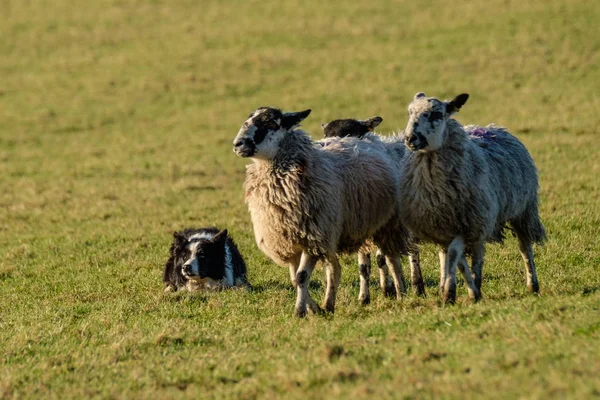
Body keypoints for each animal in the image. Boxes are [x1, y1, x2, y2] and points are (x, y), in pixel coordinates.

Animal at [233, 108, 412, 318]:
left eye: (271, 123)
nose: (237, 144)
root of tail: (377, 141)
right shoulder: (291, 243)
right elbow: (295, 279)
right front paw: (315, 308)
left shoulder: (314, 238)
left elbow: (302, 277)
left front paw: (299, 311)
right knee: (336, 268)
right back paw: (330, 304)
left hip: (388, 223)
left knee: (392, 259)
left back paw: (401, 292)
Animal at [318, 115, 426, 300]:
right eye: (326, 134)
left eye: (350, 133)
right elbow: (364, 266)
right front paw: (364, 297)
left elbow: (383, 259)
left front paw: (391, 289)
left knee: (413, 252)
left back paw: (417, 285)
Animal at [400, 91, 548, 304]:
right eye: (409, 113)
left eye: (437, 114)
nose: (410, 138)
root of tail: (496, 128)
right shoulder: (445, 227)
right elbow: (457, 259)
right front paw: (453, 290)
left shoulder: (468, 225)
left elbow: (456, 255)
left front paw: (454, 293)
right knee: (461, 254)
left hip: (521, 211)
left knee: (524, 247)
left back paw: (531, 285)